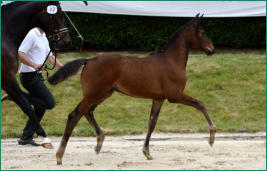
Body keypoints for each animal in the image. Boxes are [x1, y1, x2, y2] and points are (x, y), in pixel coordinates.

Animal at [48, 13, 218, 164]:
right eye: (202, 33)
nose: (212, 49)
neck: (171, 60)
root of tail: (89, 60)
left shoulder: (158, 99)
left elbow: (152, 123)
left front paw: (147, 152)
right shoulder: (174, 95)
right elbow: (200, 104)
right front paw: (211, 137)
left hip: (103, 94)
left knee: (88, 112)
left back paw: (99, 143)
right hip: (94, 94)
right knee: (74, 115)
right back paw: (59, 156)